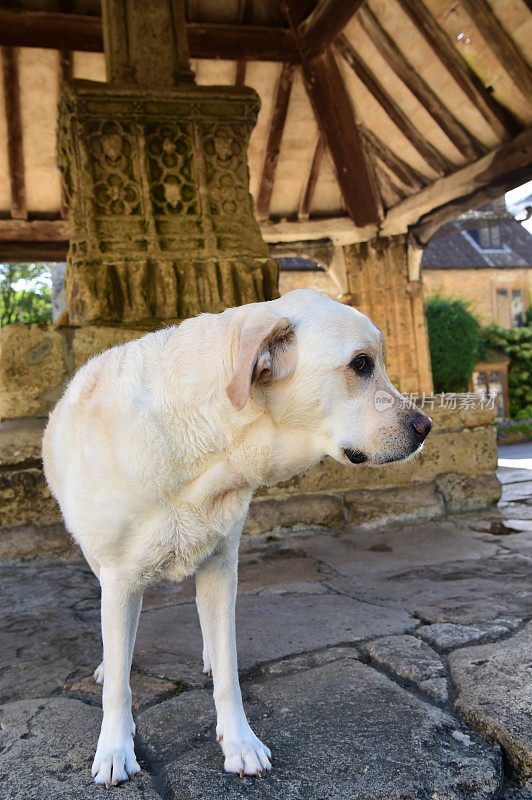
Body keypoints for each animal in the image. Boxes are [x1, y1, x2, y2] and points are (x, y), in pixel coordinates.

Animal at [42, 290, 432, 788]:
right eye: (361, 364)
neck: (202, 444)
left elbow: (228, 671)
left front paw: (239, 743)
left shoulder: (221, 565)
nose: (426, 427)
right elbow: (118, 687)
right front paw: (114, 747)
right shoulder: (120, 578)